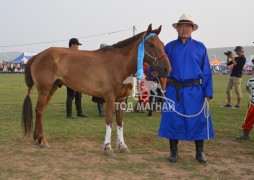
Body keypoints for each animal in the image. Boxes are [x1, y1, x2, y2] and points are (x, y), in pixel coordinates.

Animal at [21, 23, 172, 156]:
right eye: (151, 44)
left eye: (162, 44)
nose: (167, 69)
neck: (119, 64)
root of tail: (37, 55)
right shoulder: (109, 98)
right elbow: (109, 121)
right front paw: (108, 148)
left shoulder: (121, 99)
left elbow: (120, 122)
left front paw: (122, 146)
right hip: (44, 90)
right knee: (39, 110)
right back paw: (43, 141)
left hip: (52, 89)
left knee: (39, 111)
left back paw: (38, 138)